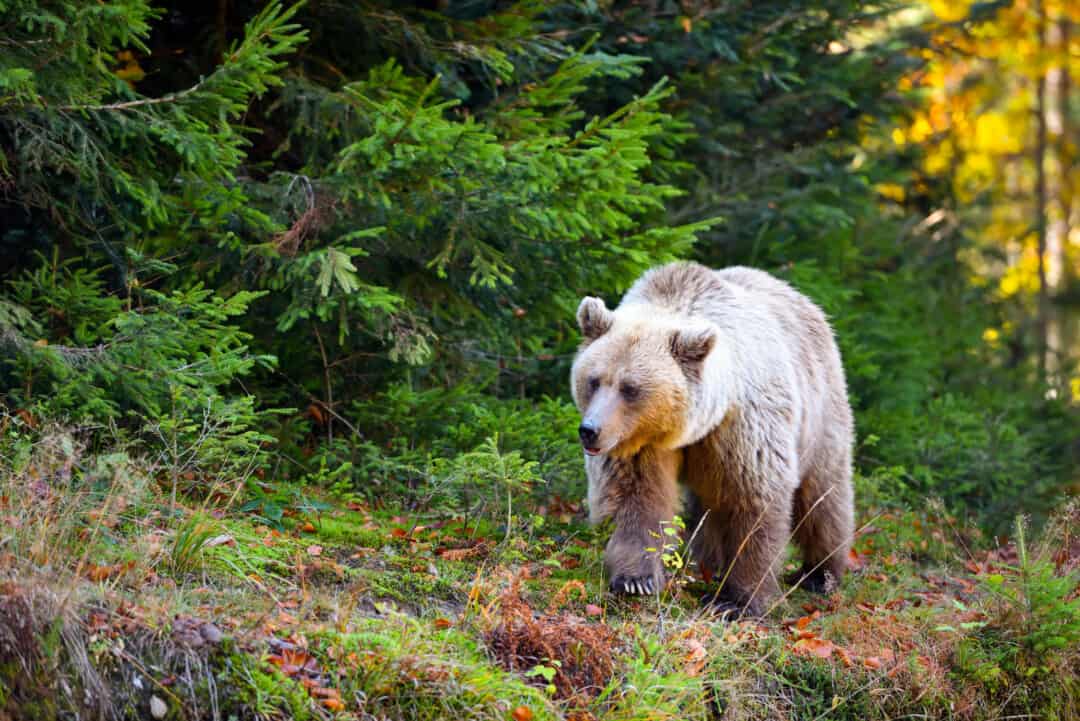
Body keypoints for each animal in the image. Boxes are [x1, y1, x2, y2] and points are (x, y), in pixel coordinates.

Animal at [570, 261, 854, 616]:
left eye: (630, 388)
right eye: (594, 380)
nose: (590, 430)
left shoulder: (743, 428)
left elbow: (753, 502)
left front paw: (737, 601)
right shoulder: (638, 444)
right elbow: (637, 496)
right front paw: (636, 579)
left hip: (821, 412)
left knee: (822, 495)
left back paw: (821, 573)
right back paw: (710, 563)